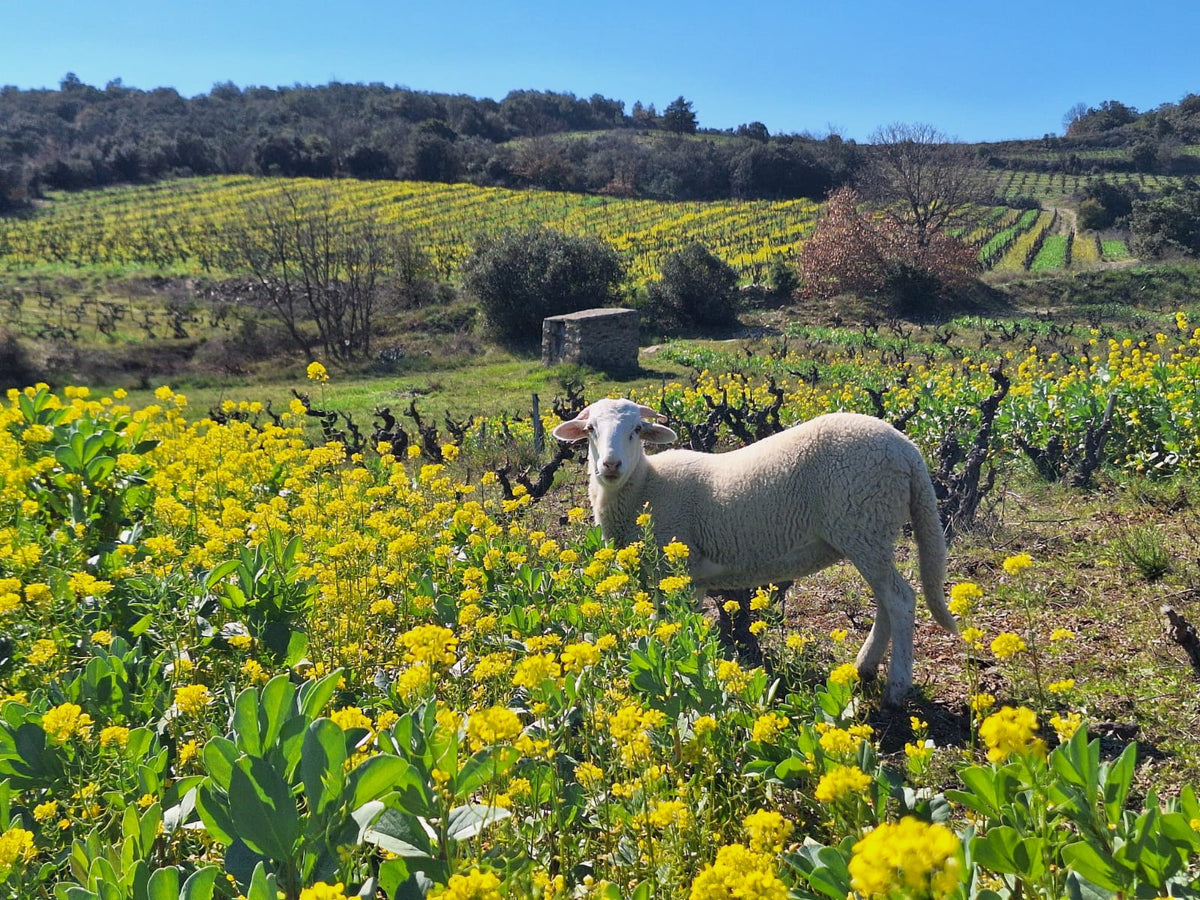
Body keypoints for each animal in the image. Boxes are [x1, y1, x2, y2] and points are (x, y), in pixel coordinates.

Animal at [552, 398, 956, 706]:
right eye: (591, 430)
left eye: (636, 430)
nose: (610, 465)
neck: (645, 487)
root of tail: (908, 450)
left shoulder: (678, 568)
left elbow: (676, 625)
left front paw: (679, 667)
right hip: (871, 532)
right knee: (886, 600)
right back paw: (865, 668)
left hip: (863, 521)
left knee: (900, 600)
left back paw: (897, 688)